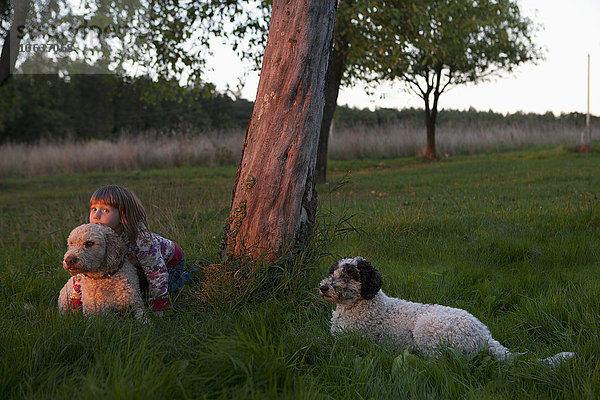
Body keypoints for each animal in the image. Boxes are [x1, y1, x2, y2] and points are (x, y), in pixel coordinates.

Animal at [322, 256, 576, 366]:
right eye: (333, 271)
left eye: (350, 274)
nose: (323, 287)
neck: (364, 304)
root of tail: (485, 336)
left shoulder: (351, 340)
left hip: (426, 331)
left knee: (440, 362)